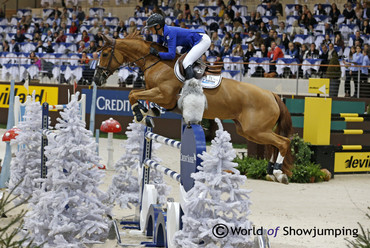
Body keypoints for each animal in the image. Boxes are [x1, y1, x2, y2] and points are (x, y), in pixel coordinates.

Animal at [92, 32, 292, 182]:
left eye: (104, 54)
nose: (96, 79)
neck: (155, 62)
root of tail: (271, 94)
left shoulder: (164, 96)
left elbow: (132, 94)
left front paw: (139, 114)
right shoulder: (158, 94)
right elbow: (139, 96)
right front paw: (148, 112)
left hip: (255, 129)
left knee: (283, 142)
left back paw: (278, 172)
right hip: (249, 131)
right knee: (274, 144)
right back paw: (271, 171)